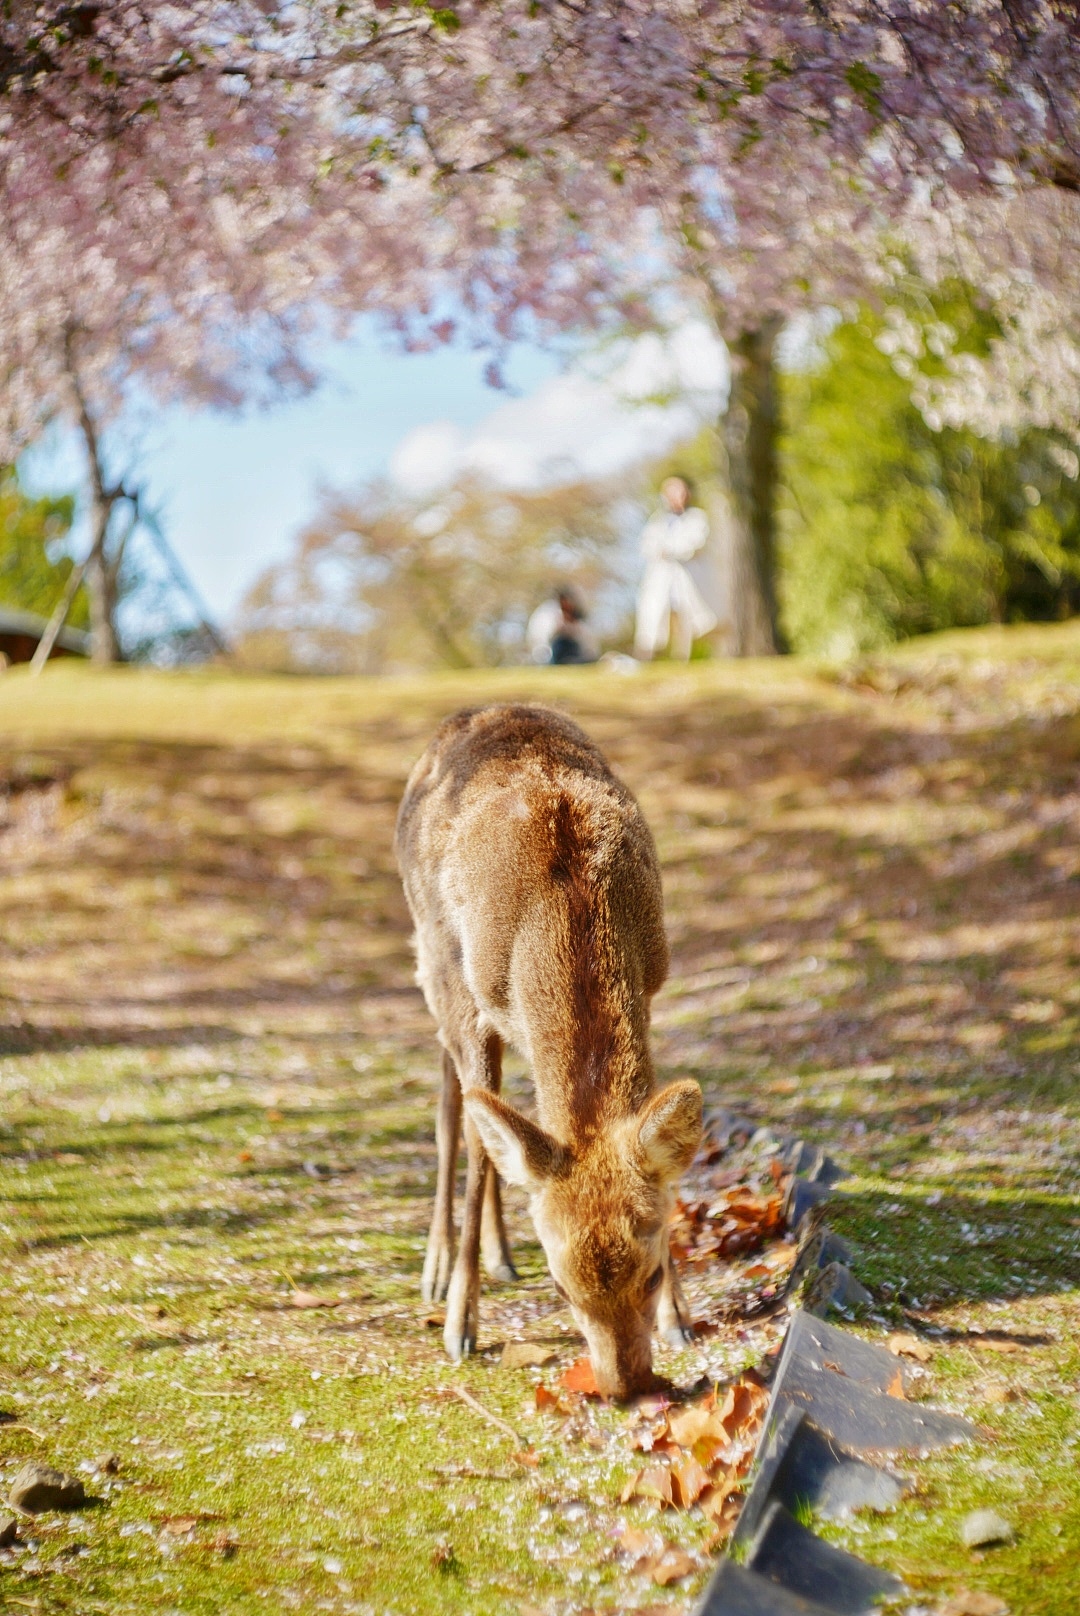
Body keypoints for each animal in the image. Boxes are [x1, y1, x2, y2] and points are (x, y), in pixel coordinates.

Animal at [394, 703, 702, 1398]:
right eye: (562, 1289)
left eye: (651, 1272)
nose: (625, 1385)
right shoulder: (471, 1002)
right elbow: (479, 1143)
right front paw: (460, 1328)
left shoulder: (652, 985)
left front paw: (680, 1319)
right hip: (434, 963)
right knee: (453, 1114)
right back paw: (438, 1267)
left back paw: (503, 1256)